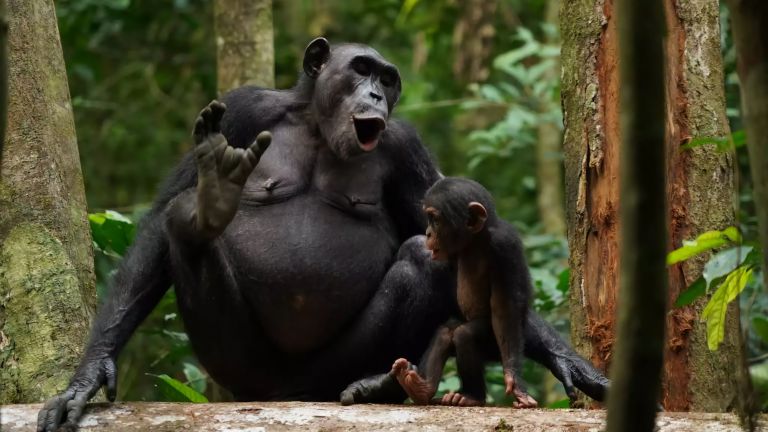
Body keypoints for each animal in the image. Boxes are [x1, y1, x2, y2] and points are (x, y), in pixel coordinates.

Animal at [37, 38, 608, 430]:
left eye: (389, 78)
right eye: (361, 69)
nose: (377, 92)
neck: (314, 122)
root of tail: (289, 396)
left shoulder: (406, 147)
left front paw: (570, 363)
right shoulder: (242, 106)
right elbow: (158, 221)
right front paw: (87, 377)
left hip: (332, 370)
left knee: (421, 260)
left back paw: (383, 384)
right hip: (238, 370)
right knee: (180, 221)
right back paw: (205, 209)